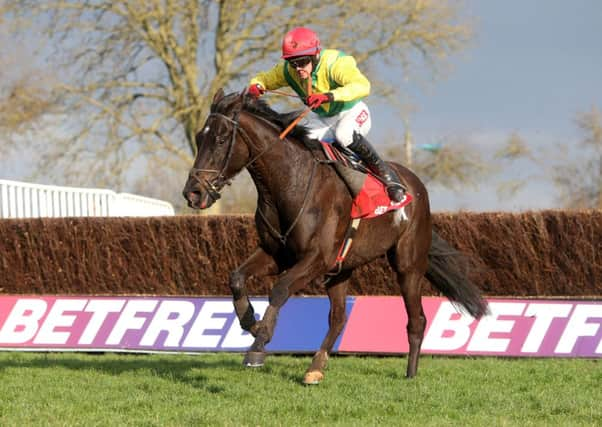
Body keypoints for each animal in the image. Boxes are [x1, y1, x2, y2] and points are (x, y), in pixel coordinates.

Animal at [180, 89, 486, 384]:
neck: (290, 183)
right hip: (341, 269)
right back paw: (316, 367)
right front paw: (250, 322)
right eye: (199, 137)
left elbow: (279, 289)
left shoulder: (318, 257)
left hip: (407, 264)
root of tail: (415, 185)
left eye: (221, 140)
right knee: (338, 317)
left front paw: (258, 344)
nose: (193, 193)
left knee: (417, 319)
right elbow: (237, 278)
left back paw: (410, 374)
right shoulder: (276, 254)